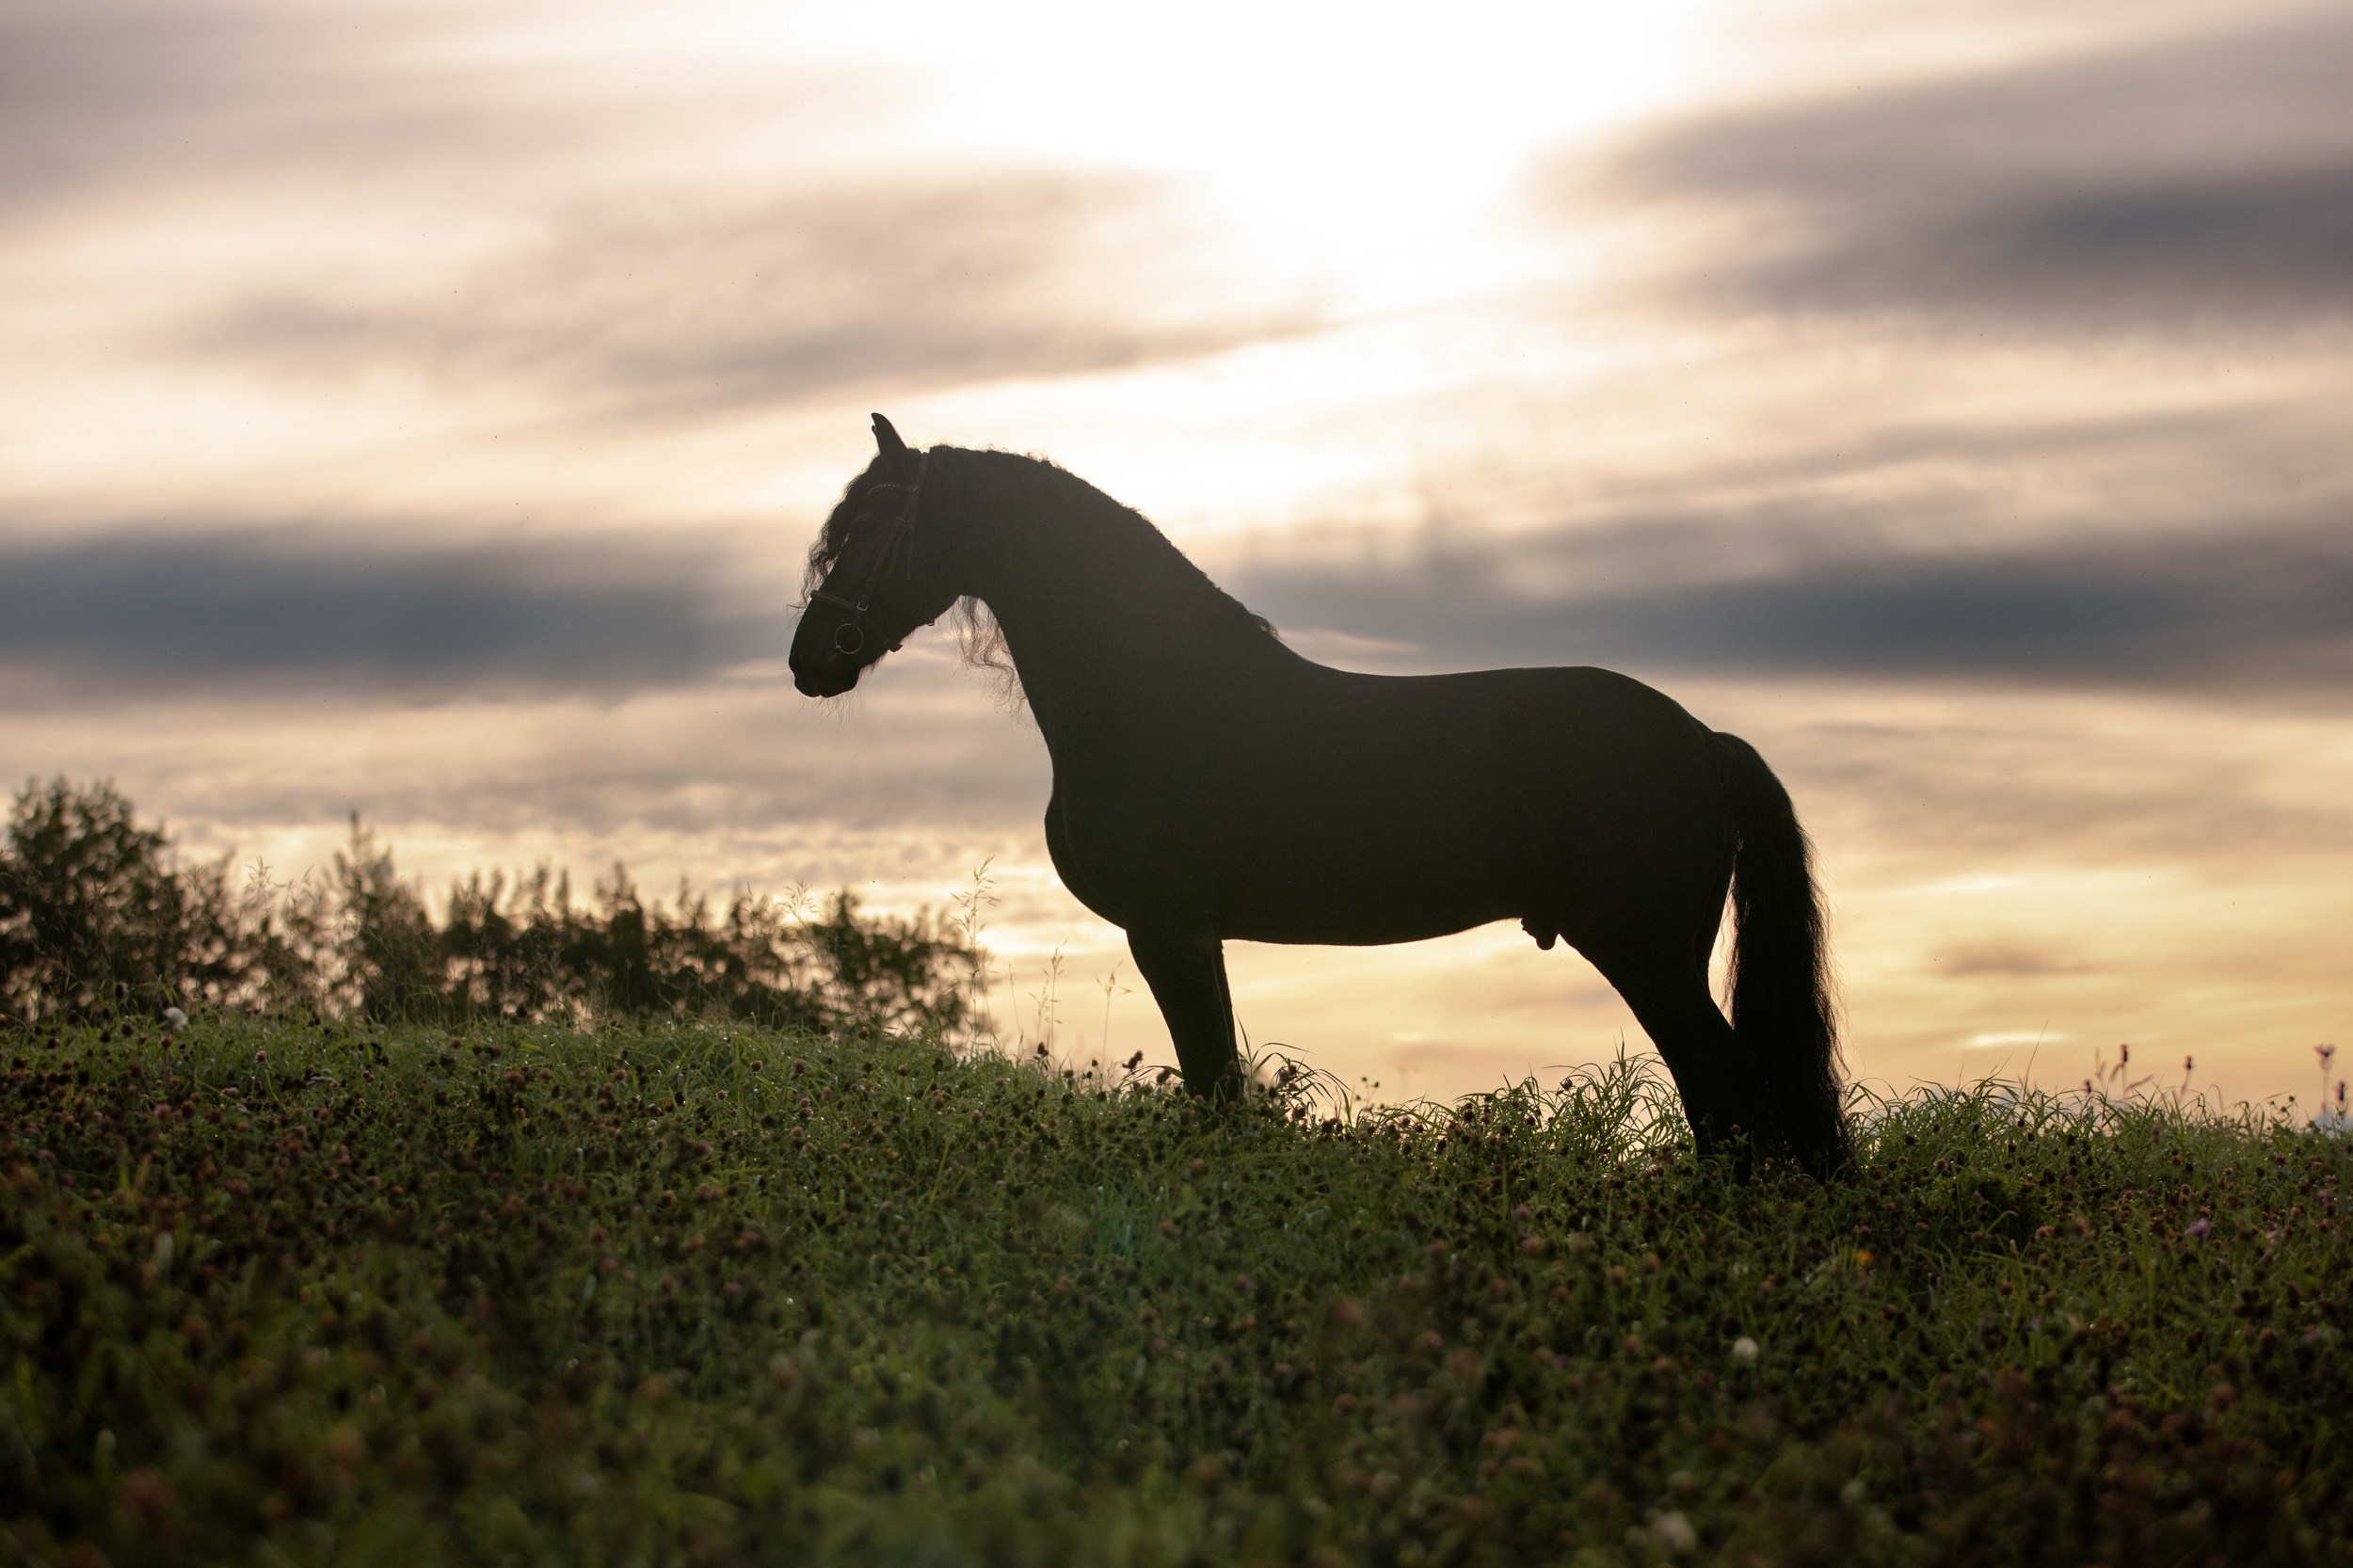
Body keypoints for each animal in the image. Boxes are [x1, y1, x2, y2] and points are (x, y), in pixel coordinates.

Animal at [790, 415, 1851, 1173]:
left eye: (872, 527)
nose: (809, 661)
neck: (1154, 694)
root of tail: (1705, 743)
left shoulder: (1170, 930)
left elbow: (1215, 1085)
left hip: (1648, 956)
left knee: (1735, 1103)